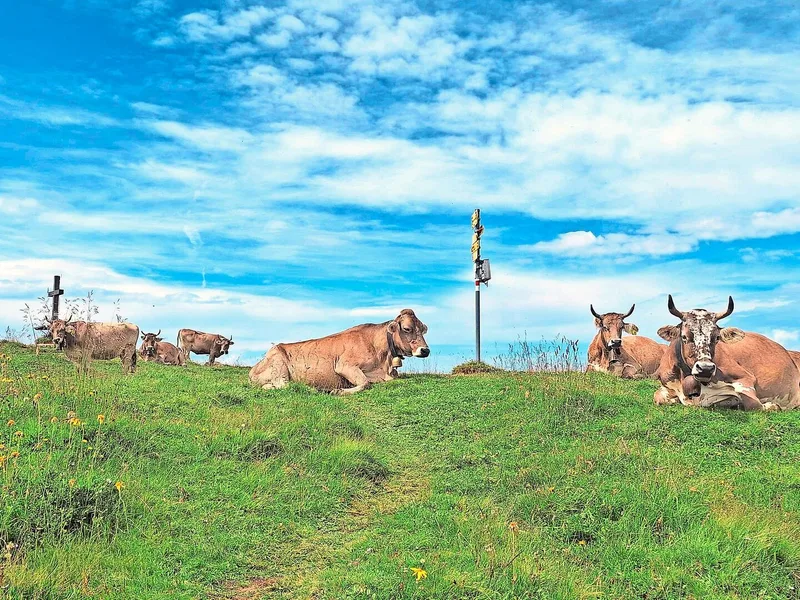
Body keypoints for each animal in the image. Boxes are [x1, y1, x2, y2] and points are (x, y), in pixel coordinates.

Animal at [249, 308, 430, 394]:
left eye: (423, 329)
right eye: (407, 328)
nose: (425, 350)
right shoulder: (344, 366)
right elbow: (365, 383)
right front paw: (338, 391)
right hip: (278, 363)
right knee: (285, 385)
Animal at [653, 295, 800, 411]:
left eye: (717, 337)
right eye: (684, 337)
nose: (705, 369)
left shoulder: (745, 378)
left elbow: (754, 404)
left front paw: (772, 406)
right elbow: (658, 397)